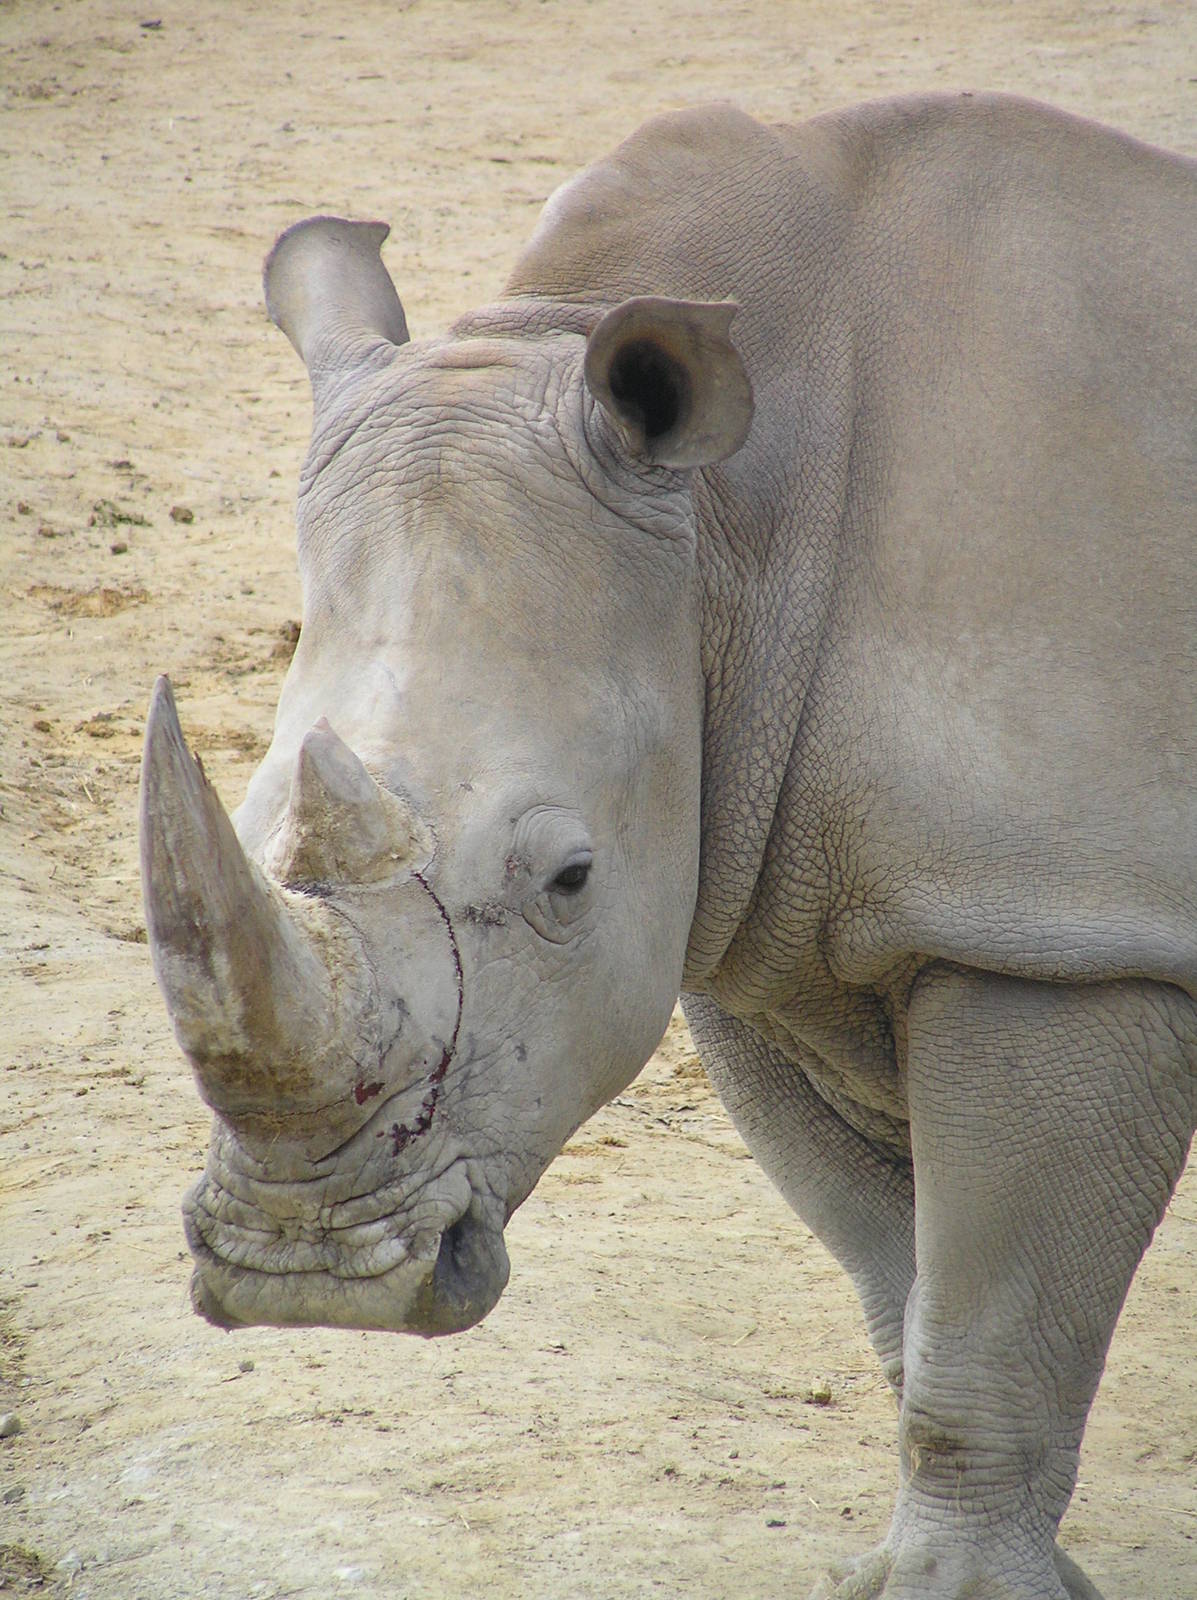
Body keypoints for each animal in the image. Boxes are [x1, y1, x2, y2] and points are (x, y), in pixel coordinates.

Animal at [140, 92, 1196, 1599]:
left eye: (568, 879)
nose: (307, 1277)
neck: (735, 533)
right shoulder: (761, 920)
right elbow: (906, 1284)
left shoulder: (1053, 927)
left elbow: (990, 1322)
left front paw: (959, 1589)